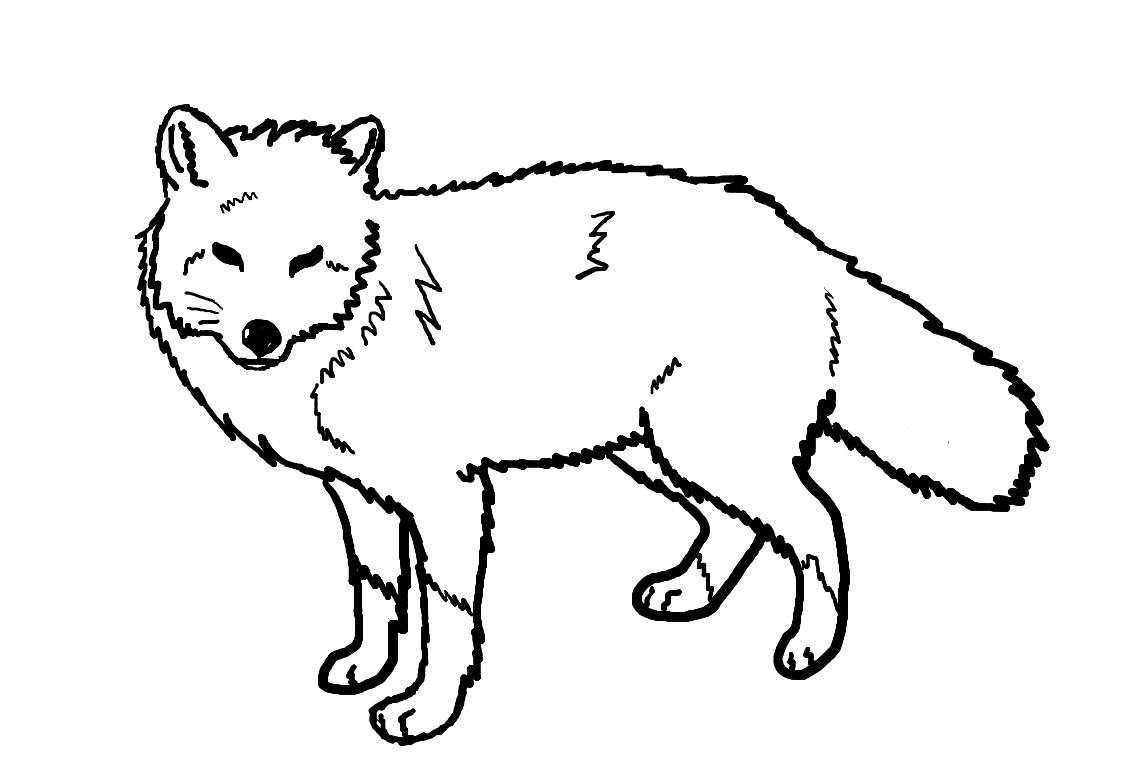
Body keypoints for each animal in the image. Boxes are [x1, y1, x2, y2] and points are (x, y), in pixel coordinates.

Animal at [138, 104, 1047, 744]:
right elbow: (378, 590)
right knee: (743, 527)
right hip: (652, 453)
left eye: (306, 261)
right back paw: (688, 592)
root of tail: (808, 247)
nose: (260, 335)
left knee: (820, 520)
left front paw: (425, 710)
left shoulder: (446, 494)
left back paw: (810, 648)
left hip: (699, 450)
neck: (358, 320)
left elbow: (447, 615)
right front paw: (366, 666)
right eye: (227, 256)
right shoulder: (358, 494)